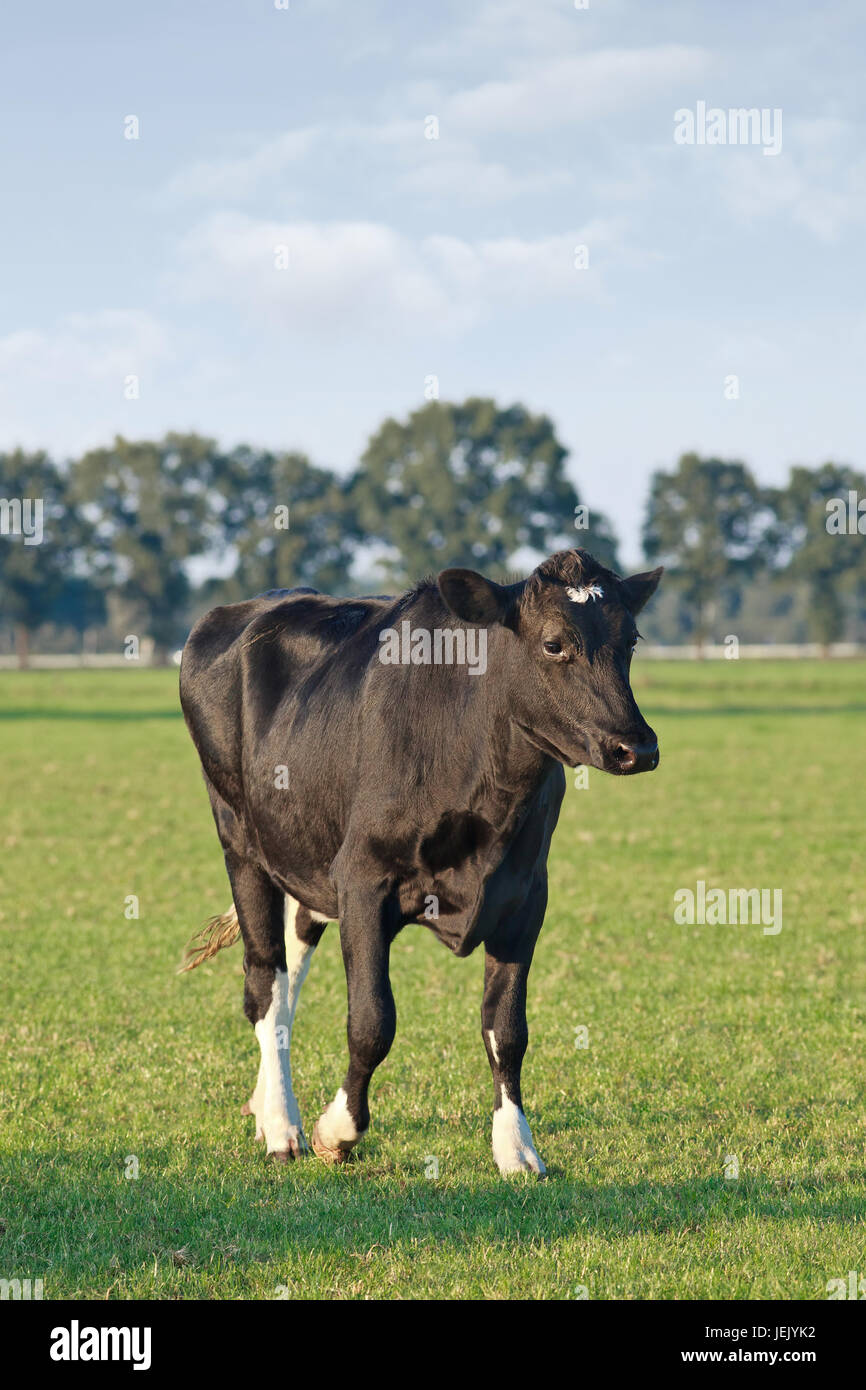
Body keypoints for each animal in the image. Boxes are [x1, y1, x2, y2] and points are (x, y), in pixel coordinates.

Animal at [177, 547, 664, 1178]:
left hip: (306, 859)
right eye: (555, 643)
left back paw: (266, 1108)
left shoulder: (525, 896)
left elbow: (507, 1029)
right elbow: (372, 1022)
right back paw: (284, 1128)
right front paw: (338, 1131)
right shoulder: (362, 879)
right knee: (266, 985)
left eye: (630, 640)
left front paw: (516, 1147)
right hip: (240, 841)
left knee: (290, 971)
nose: (638, 747)